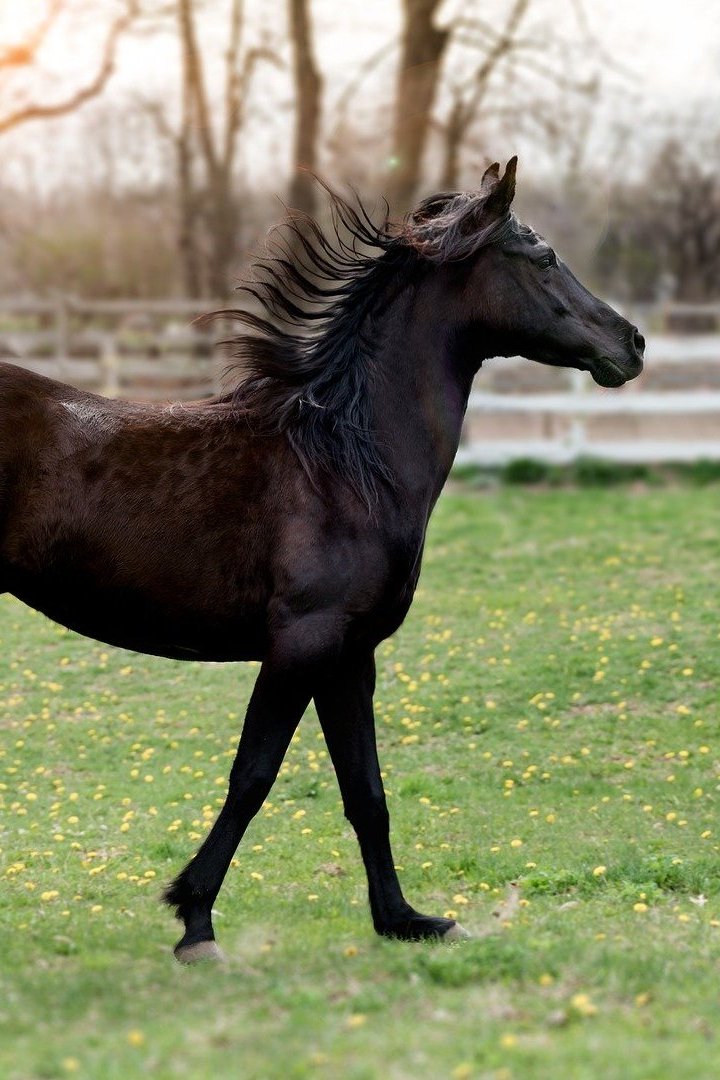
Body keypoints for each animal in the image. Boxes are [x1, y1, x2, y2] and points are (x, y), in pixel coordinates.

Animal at [0, 158, 644, 962]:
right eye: (545, 257)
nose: (632, 343)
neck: (345, 465)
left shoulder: (350, 654)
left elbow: (366, 791)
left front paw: (405, 919)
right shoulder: (302, 643)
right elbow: (253, 776)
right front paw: (196, 922)